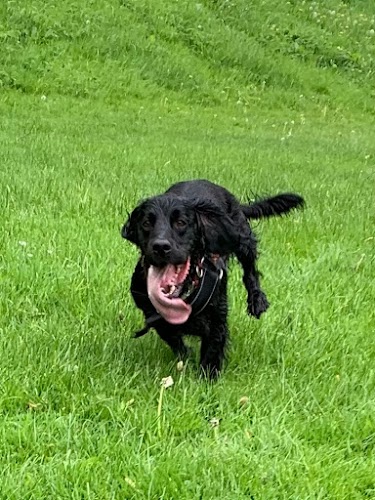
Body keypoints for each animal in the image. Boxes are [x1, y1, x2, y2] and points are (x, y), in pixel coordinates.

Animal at [122, 178, 304, 376]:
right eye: (146, 223)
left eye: (181, 222)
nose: (161, 247)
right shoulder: (152, 313)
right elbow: (170, 335)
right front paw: (186, 356)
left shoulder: (218, 315)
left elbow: (213, 349)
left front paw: (207, 379)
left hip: (242, 238)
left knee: (250, 272)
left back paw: (257, 301)